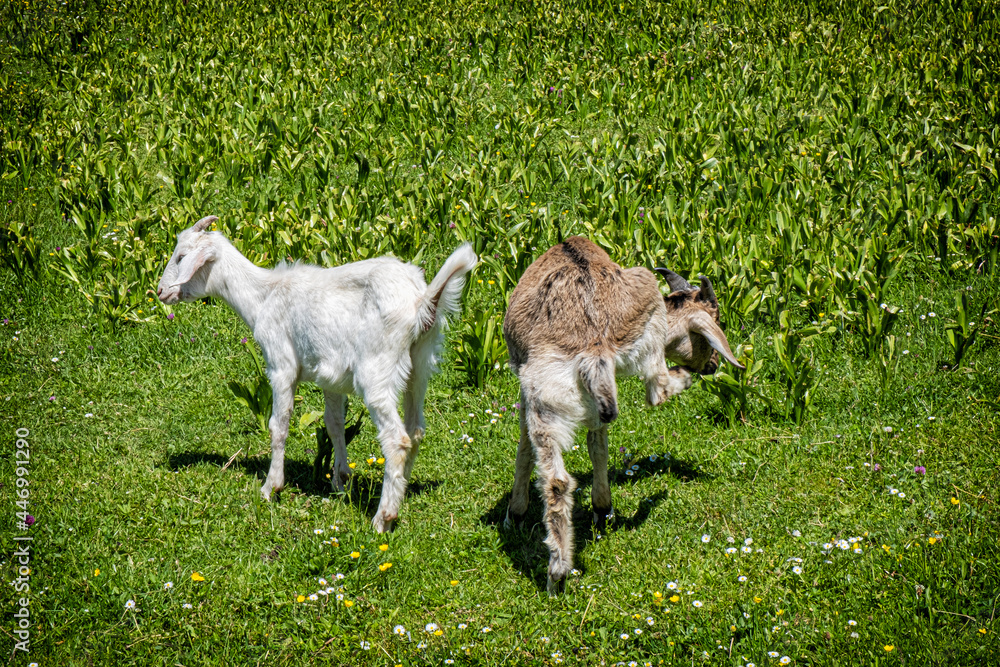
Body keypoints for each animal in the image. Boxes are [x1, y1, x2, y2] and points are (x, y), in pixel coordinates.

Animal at [157, 215, 477, 532]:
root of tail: (421, 301)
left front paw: (271, 487)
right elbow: (335, 425)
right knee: (416, 430)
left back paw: (383, 518)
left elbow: (279, 425)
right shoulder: (331, 380)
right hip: (419, 368)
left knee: (397, 439)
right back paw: (400, 495)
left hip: (377, 370)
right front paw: (340, 481)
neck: (264, 295)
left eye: (182, 257)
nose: (160, 291)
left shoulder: (281, 366)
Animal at [502, 236, 742, 593]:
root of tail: (594, 347)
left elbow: (523, 449)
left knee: (558, 479)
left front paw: (514, 514)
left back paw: (556, 574)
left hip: (545, 397)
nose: (712, 365)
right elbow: (597, 444)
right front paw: (602, 509)